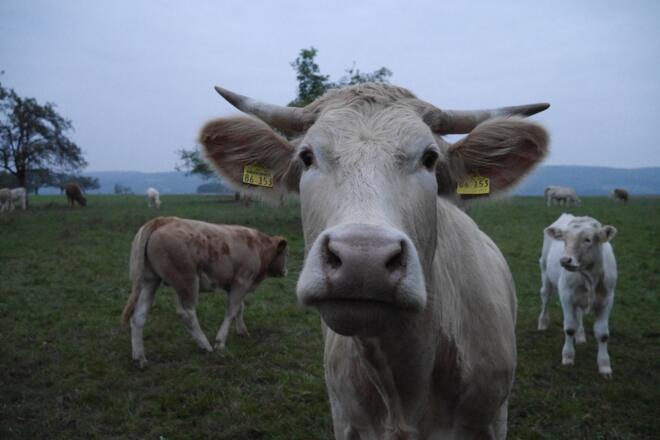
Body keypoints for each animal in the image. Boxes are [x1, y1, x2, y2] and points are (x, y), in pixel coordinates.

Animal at [121, 217, 288, 367]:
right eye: (285, 254)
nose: (286, 271)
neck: (258, 246)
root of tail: (163, 220)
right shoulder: (242, 282)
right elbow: (232, 311)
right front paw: (220, 342)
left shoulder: (232, 285)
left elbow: (239, 308)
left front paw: (242, 331)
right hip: (187, 282)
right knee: (187, 314)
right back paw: (205, 345)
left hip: (150, 281)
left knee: (138, 316)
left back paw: (140, 357)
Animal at [537, 213, 617, 378]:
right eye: (564, 239)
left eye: (588, 239)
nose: (565, 260)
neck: (590, 278)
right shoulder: (566, 295)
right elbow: (569, 327)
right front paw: (568, 356)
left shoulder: (607, 300)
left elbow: (603, 333)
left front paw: (605, 366)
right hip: (545, 272)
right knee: (546, 298)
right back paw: (542, 323)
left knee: (579, 313)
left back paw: (580, 336)